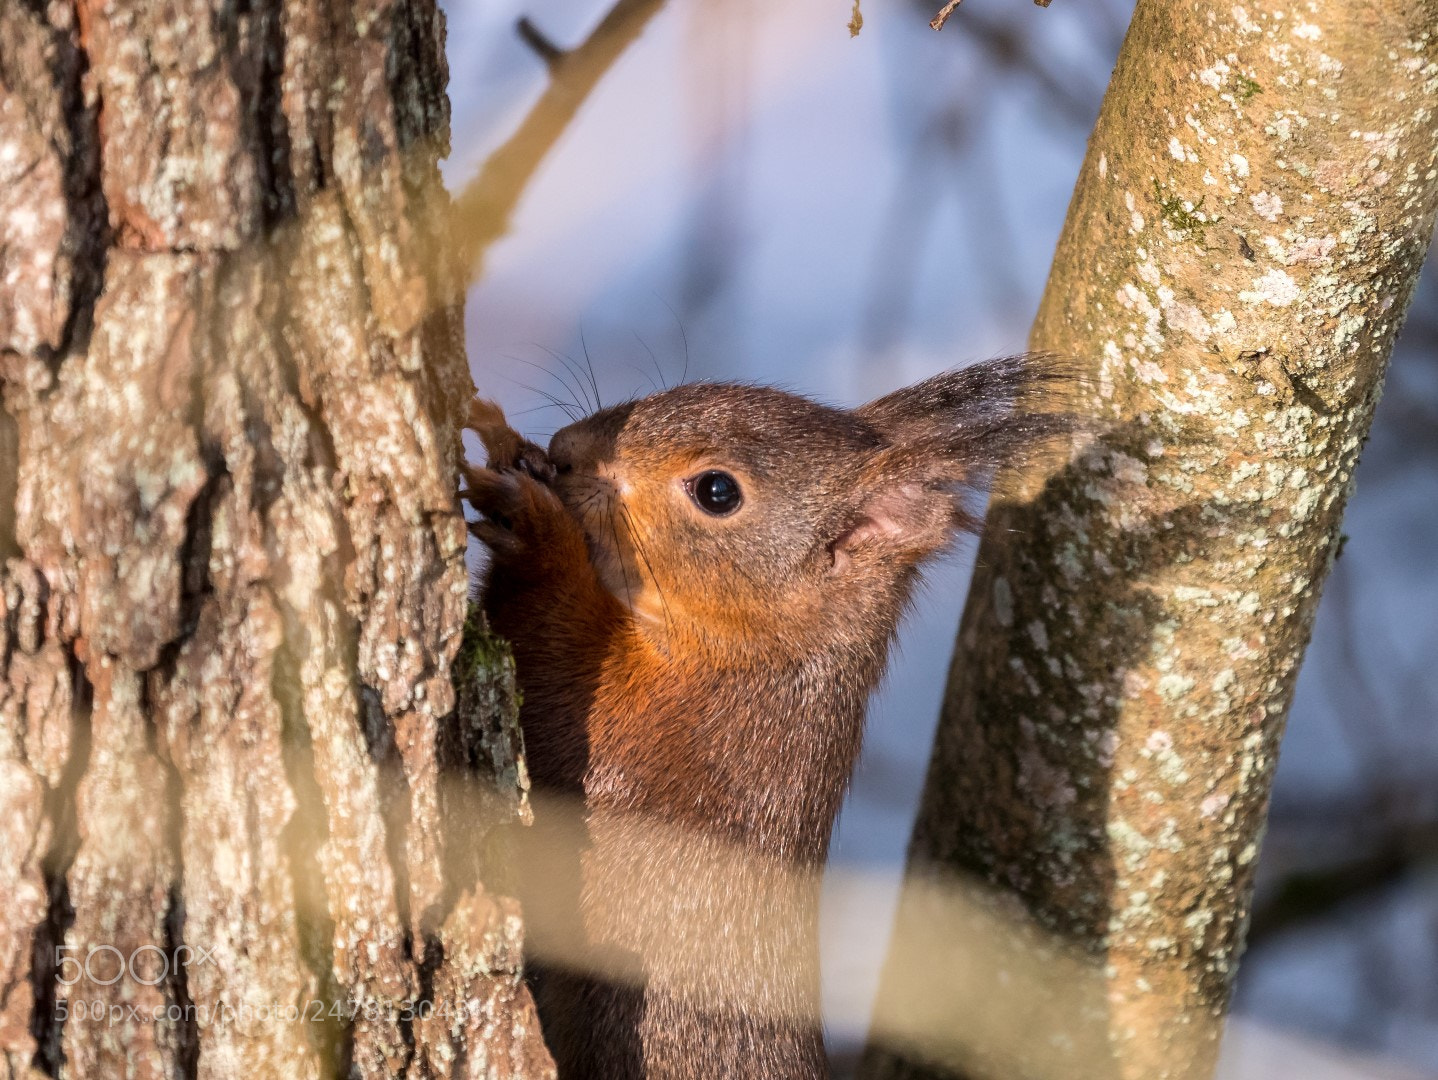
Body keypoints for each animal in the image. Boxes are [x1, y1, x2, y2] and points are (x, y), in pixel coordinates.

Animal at [461, 355, 1070, 1079]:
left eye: (717, 492)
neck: (767, 655)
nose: (563, 451)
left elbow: (560, 684)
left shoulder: (688, 740)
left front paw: (535, 529)